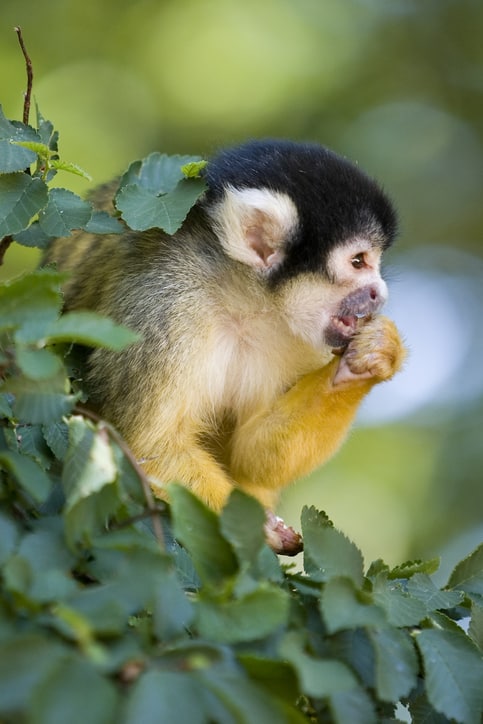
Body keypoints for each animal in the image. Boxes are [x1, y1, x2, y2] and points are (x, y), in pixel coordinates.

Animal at [46, 139, 408, 552]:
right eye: (359, 261)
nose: (380, 292)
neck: (243, 303)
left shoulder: (299, 340)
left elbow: (253, 456)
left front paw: (372, 358)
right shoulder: (164, 304)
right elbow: (146, 447)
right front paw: (257, 529)